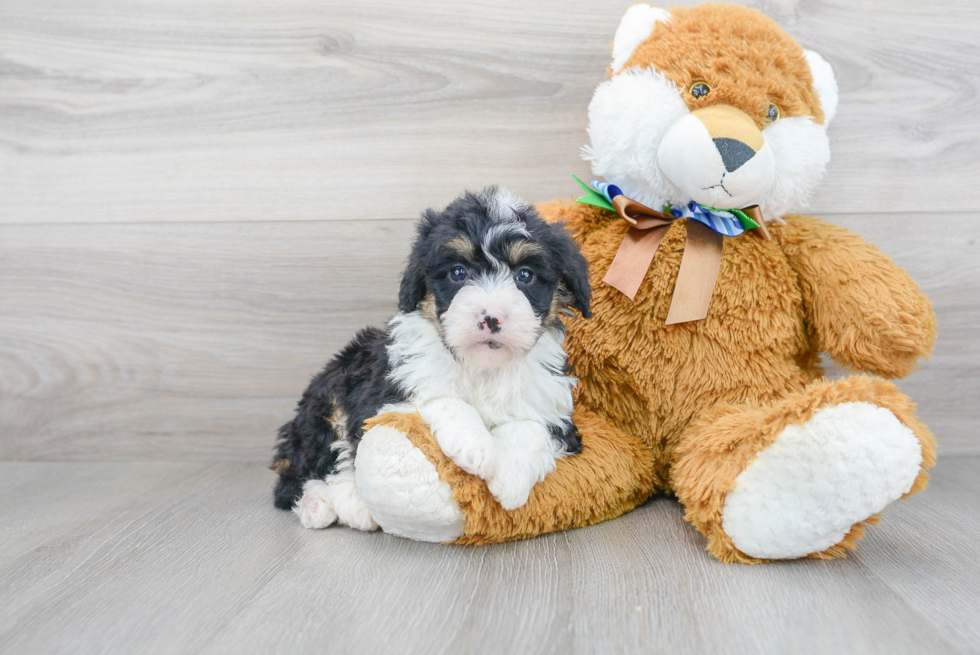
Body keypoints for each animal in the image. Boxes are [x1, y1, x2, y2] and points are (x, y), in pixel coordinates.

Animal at [272, 187, 588, 532]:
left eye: (525, 275)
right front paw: (474, 445)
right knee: (308, 468)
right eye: (458, 273)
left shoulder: (556, 409)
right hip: (330, 393)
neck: (483, 366)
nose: (491, 317)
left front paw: (509, 475)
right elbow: (440, 397)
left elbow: (533, 428)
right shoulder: (387, 391)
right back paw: (331, 503)